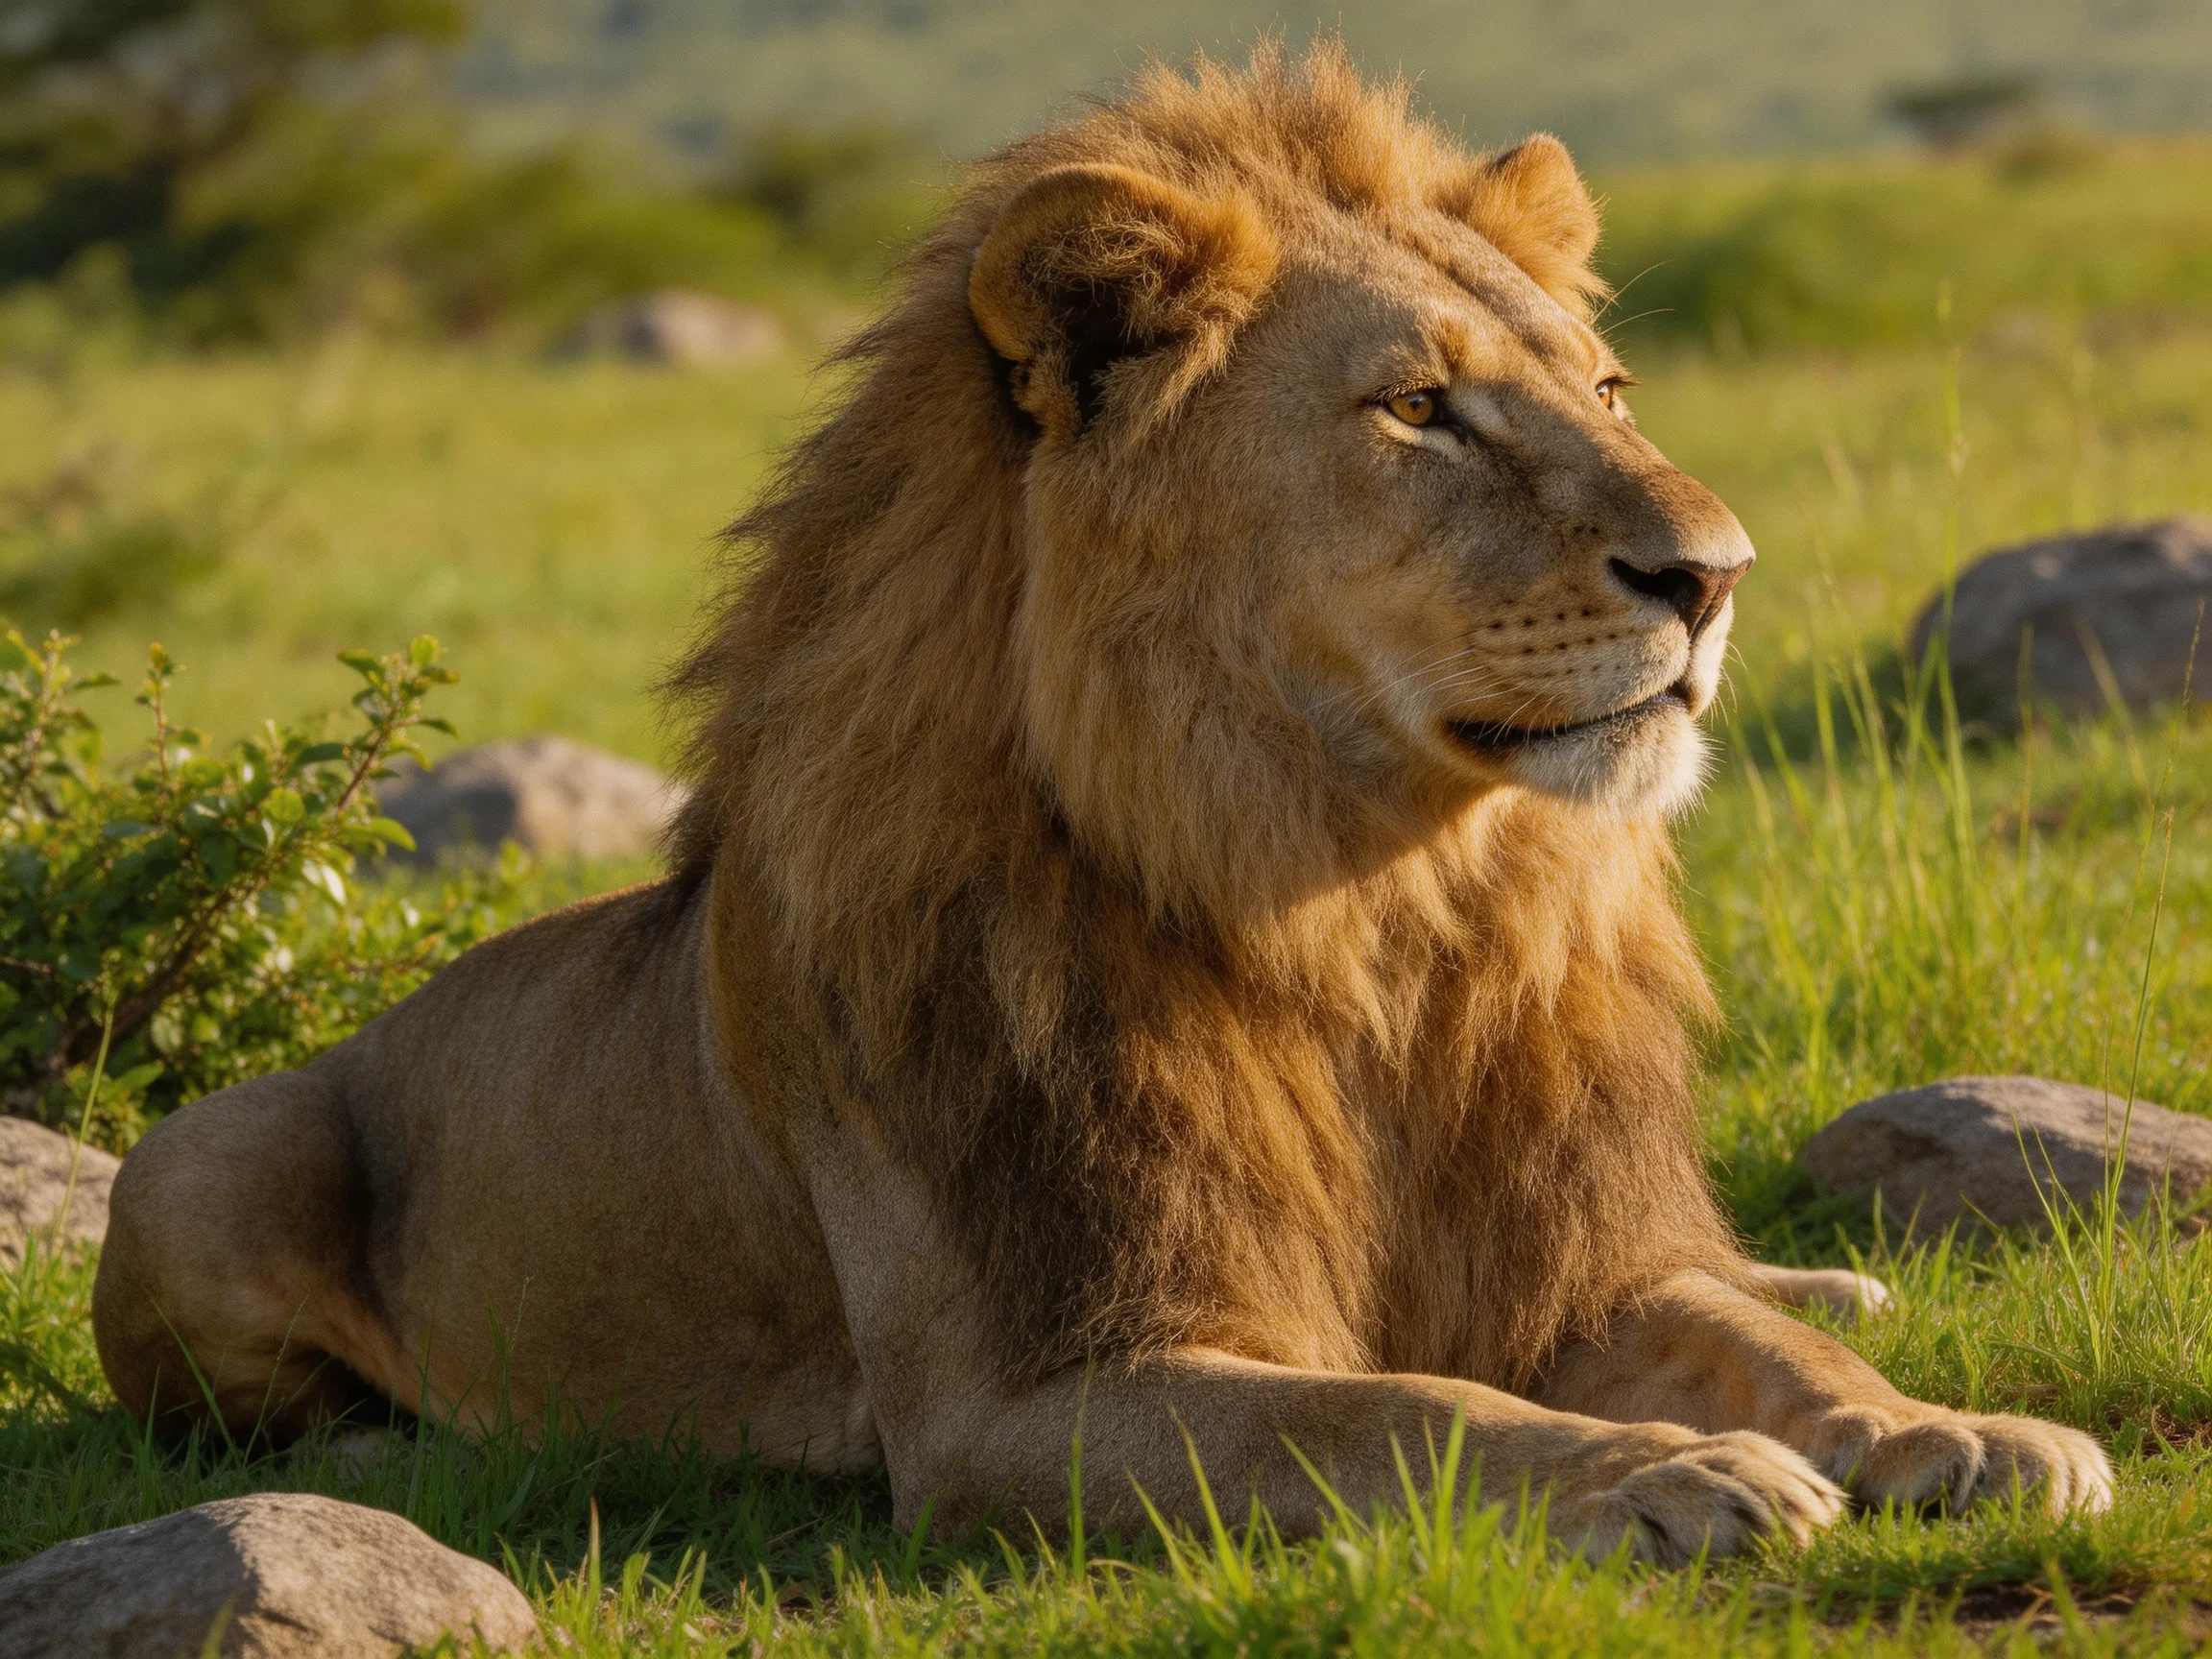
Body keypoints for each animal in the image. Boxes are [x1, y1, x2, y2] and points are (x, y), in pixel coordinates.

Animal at [93, 46, 2111, 1563]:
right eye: (1416, 410)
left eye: (1605, 385)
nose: (1714, 572)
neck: (1368, 905)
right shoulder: (1021, 1401)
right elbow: (1405, 1414)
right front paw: (1661, 1473)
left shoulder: (1569, 1268)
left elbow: (1742, 1347)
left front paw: (1947, 1428)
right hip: (199, 1159)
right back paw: (399, 1446)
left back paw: (1839, 1285)